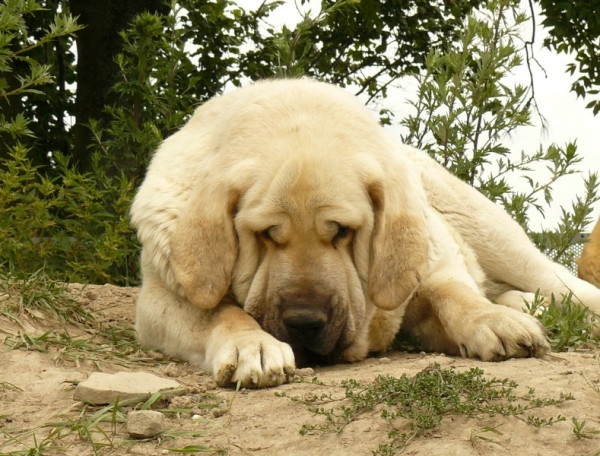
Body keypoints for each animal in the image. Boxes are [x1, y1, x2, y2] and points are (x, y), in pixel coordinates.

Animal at [129, 78, 600, 388]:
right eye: (266, 234)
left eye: (342, 231)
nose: (304, 322)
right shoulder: (158, 300)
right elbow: (220, 313)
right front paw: (252, 345)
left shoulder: (425, 269)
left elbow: (452, 292)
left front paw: (492, 321)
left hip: (495, 236)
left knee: (562, 284)